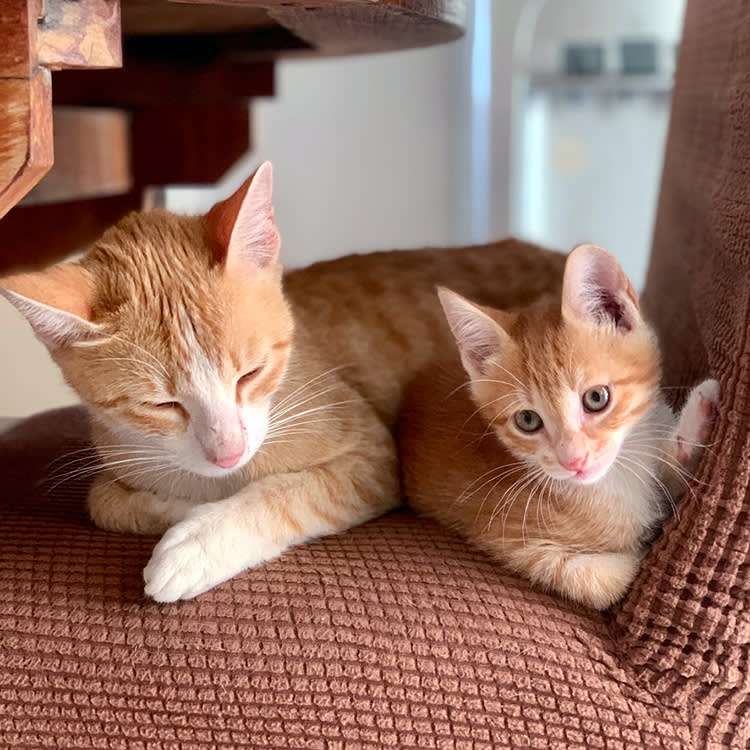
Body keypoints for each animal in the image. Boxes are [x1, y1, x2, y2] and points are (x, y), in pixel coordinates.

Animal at [0, 162, 568, 604]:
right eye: (161, 405)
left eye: (250, 373)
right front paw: (184, 506)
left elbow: (287, 494)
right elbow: (103, 500)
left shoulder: (371, 457)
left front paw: (198, 538)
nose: (229, 453)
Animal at [400, 247, 724, 612]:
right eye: (528, 420)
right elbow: (605, 581)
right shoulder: (510, 541)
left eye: (596, 398)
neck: (617, 478)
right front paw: (642, 543)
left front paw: (699, 417)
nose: (574, 461)